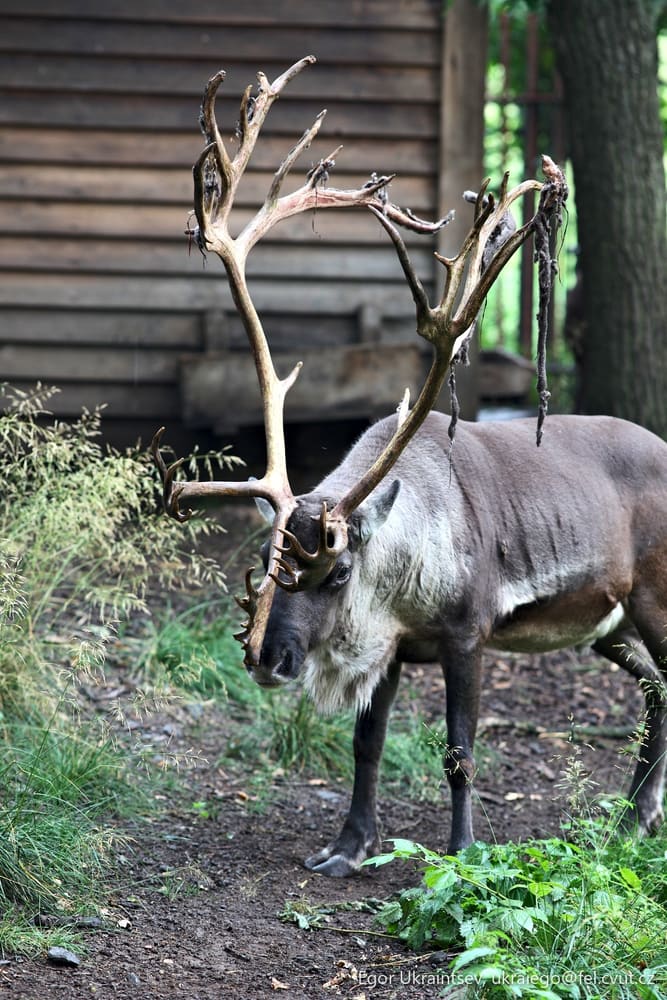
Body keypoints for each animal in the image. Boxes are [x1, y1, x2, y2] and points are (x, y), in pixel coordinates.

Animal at [153, 57, 667, 876]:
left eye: (334, 572)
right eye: (264, 564)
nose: (268, 660)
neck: (397, 575)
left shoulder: (466, 634)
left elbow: (458, 752)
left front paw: (460, 851)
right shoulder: (389, 649)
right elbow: (366, 745)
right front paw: (347, 846)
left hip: (653, 597)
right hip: (609, 625)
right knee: (657, 692)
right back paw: (632, 817)